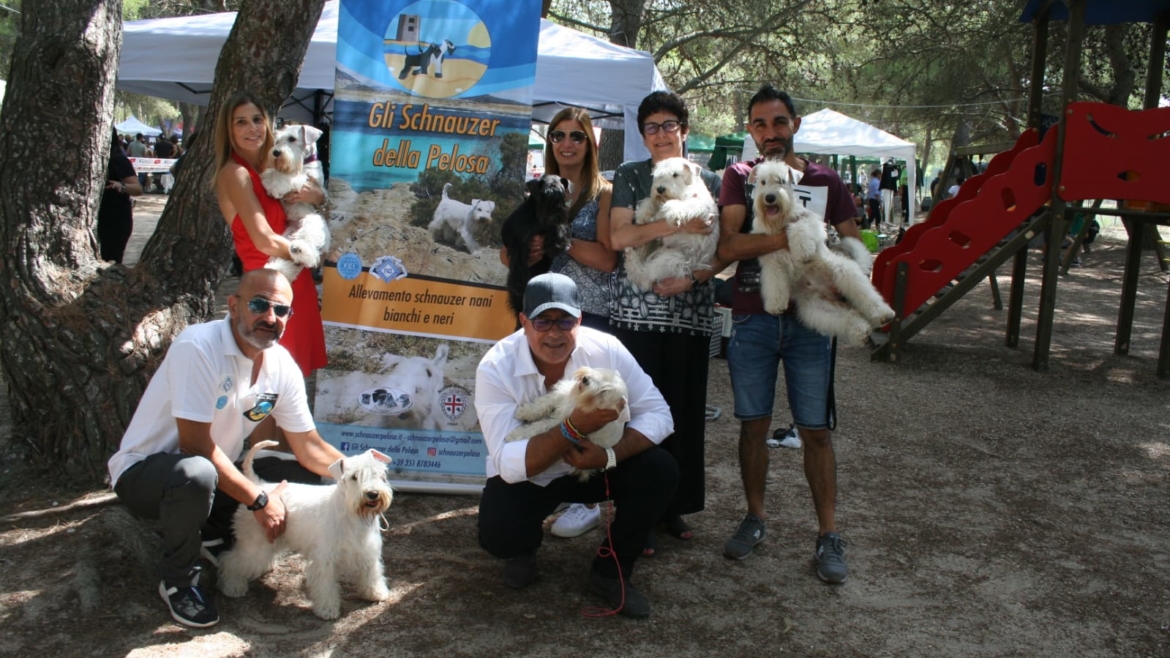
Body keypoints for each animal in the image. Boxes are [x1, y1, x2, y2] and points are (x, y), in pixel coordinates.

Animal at [219, 437, 397, 618]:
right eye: (354, 477)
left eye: (379, 473)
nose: (373, 494)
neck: (350, 512)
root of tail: (258, 484)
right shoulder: (324, 558)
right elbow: (325, 585)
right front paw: (327, 609)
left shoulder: (367, 550)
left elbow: (371, 573)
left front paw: (375, 593)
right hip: (254, 545)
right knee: (230, 560)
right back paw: (233, 587)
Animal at [262, 122, 332, 282]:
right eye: (277, 140)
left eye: (292, 139)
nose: (276, 152)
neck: (304, 161)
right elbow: (275, 173)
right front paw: (268, 179)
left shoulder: (307, 180)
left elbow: (290, 176)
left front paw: (274, 187)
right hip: (283, 240)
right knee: (292, 262)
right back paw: (275, 269)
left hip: (313, 221)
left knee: (309, 250)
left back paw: (299, 248)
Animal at [500, 175, 573, 313]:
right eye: (544, 193)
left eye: (562, 192)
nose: (556, 211)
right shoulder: (519, 242)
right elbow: (519, 263)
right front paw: (518, 284)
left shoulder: (552, 224)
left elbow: (559, 228)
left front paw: (557, 245)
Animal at [622, 155, 720, 289]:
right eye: (659, 175)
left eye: (675, 174)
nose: (660, 189)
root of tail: (695, 265)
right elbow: (651, 200)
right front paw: (643, 214)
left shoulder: (700, 205)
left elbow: (677, 205)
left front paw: (671, 214)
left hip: (673, 259)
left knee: (646, 277)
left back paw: (631, 257)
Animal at [748, 159, 893, 346]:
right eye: (762, 182)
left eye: (781, 181)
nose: (770, 198)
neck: (779, 222)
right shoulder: (772, 260)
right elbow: (775, 284)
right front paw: (775, 305)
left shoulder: (812, 223)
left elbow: (798, 226)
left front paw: (803, 251)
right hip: (817, 309)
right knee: (850, 315)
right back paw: (861, 331)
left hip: (845, 272)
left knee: (868, 299)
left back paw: (884, 315)